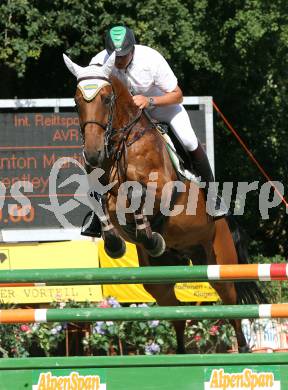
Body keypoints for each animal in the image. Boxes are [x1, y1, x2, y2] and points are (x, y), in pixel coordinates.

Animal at [63, 52, 266, 354]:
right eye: (77, 102)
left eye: (107, 99)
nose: (93, 154)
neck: (123, 142)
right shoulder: (105, 191)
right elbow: (102, 203)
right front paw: (115, 243)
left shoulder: (163, 189)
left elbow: (137, 196)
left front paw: (147, 233)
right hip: (160, 276)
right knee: (176, 312)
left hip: (219, 262)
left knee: (232, 307)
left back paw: (242, 350)